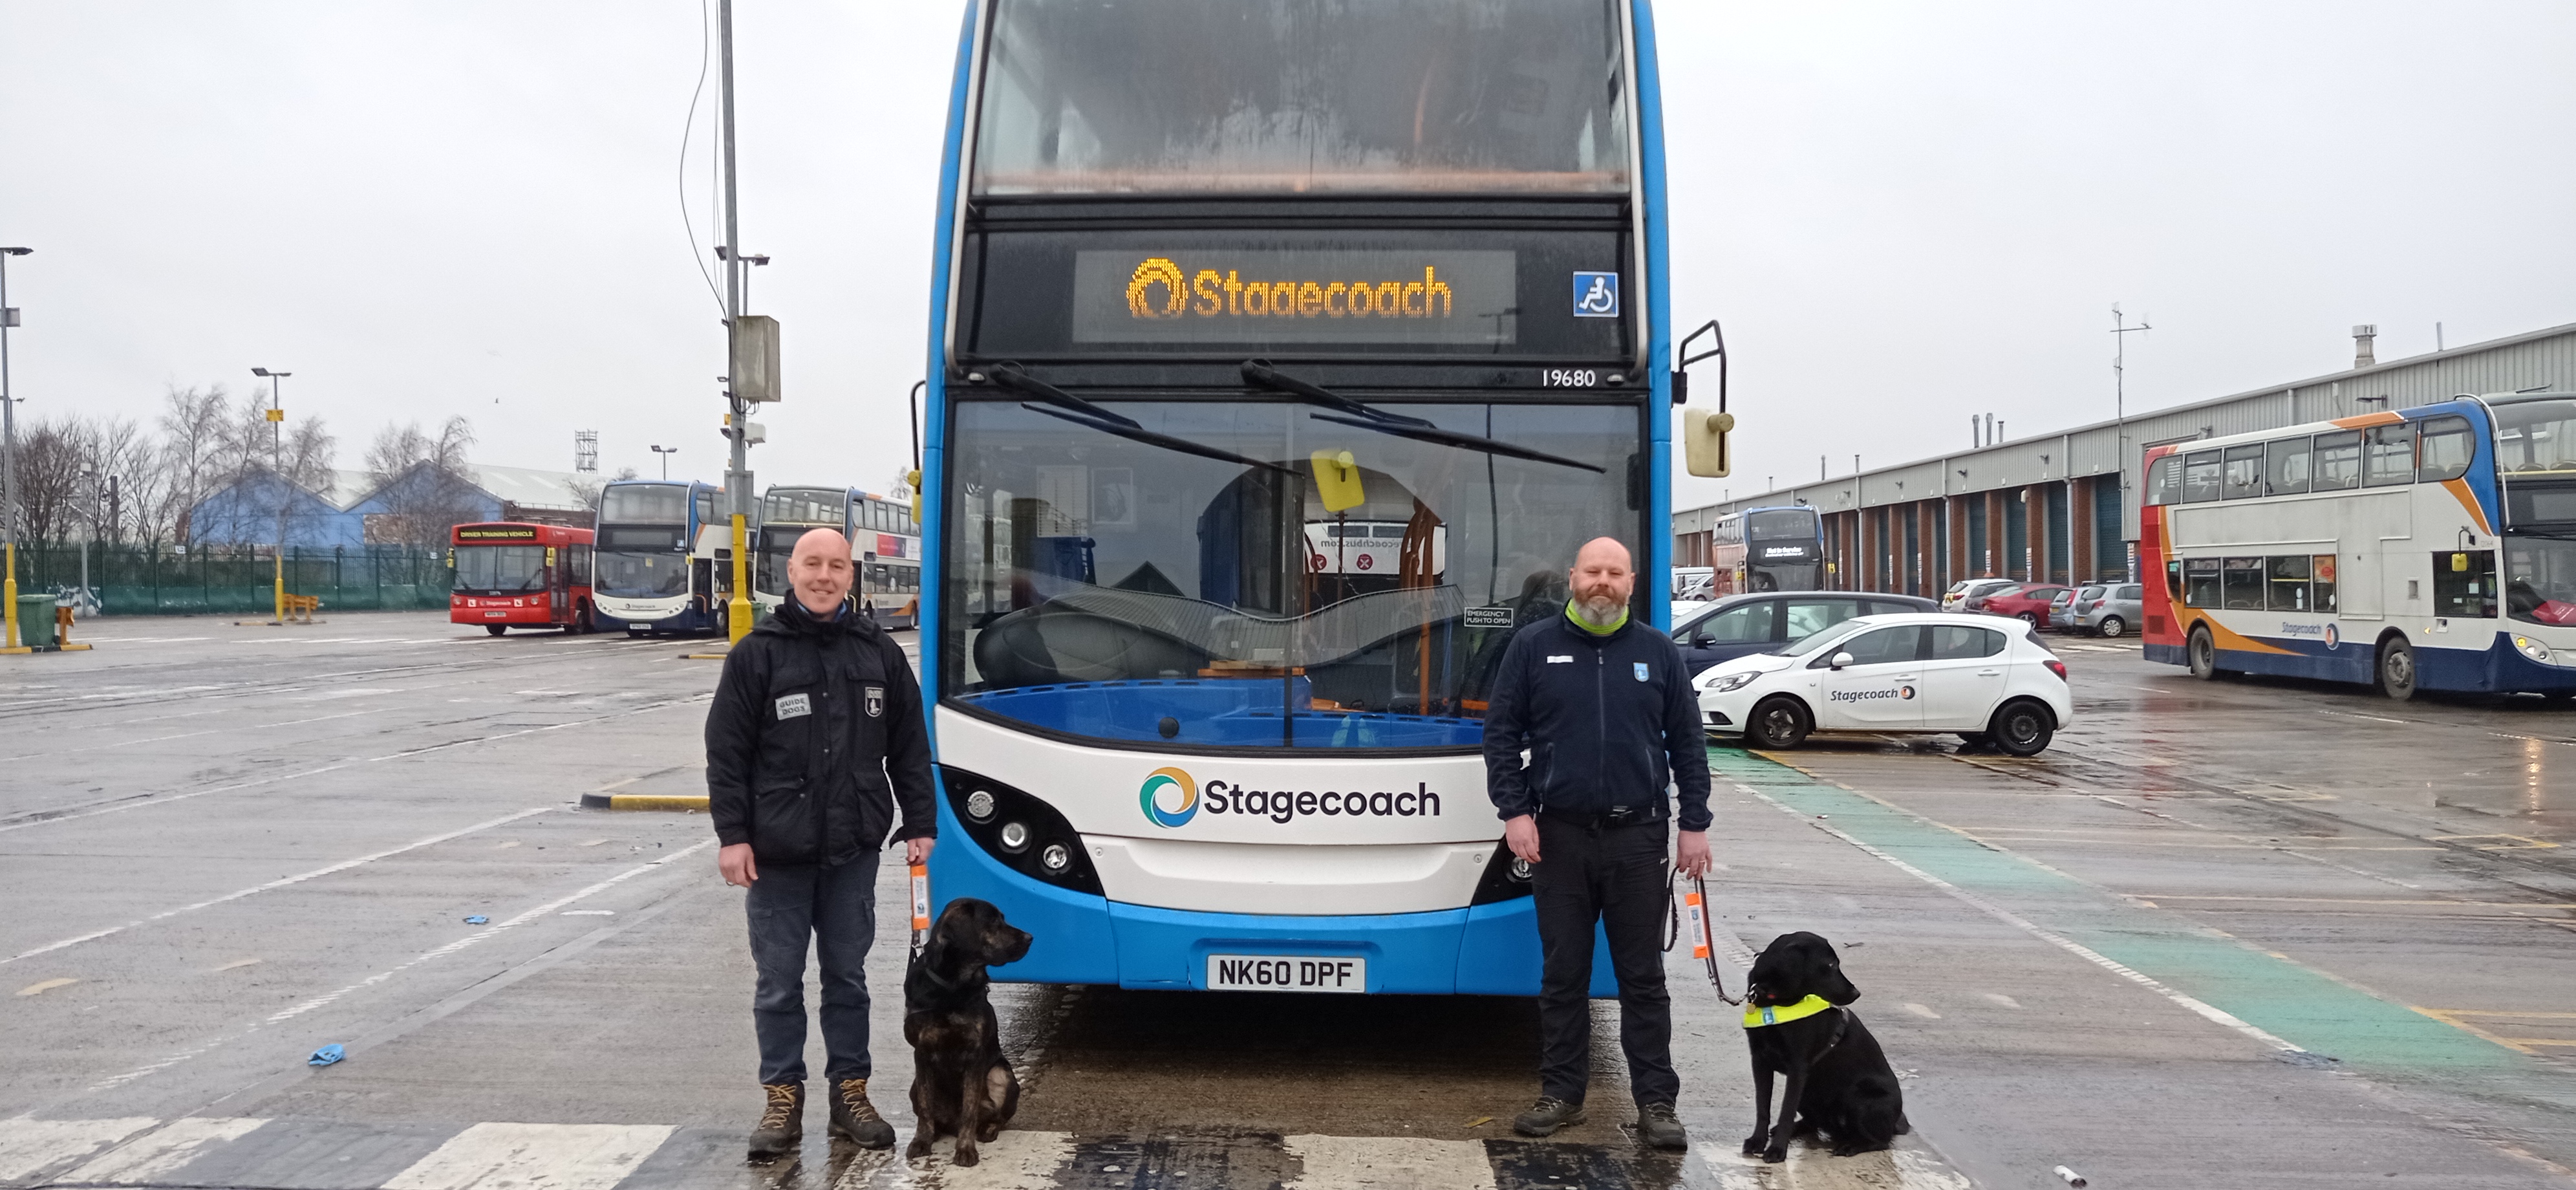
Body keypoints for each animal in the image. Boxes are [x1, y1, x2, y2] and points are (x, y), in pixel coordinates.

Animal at [901, 901, 1030, 1164]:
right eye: (994, 922)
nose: (1030, 938)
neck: (952, 987)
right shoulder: (922, 1053)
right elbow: (926, 1108)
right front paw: (921, 1141)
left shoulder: (974, 1055)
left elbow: (969, 1110)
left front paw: (965, 1149)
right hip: (914, 1086)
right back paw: (935, 1133)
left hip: (1002, 1075)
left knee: (996, 1117)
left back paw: (988, 1130)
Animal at [1741, 927, 1906, 1164]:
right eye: (1830, 965)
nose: (1857, 993)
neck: (1776, 1000)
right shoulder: (1760, 1061)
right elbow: (1762, 1107)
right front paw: (1758, 1141)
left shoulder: (1798, 1067)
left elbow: (1786, 1110)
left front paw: (1777, 1150)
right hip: (1809, 1090)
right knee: (1813, 1122)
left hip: (1859, 1098)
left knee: (1881, 1141)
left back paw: (1851, 1145)